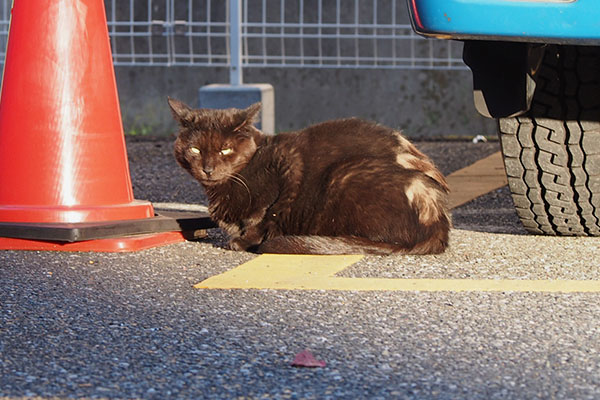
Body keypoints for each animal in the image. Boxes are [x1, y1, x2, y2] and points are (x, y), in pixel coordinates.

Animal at [169, 97, 450, 255]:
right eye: (195, 150)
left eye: (225, 149)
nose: (208, 168)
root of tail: (437, 223)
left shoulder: (287, 166)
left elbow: (265, 215)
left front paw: (241, 242)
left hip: (344, 174)